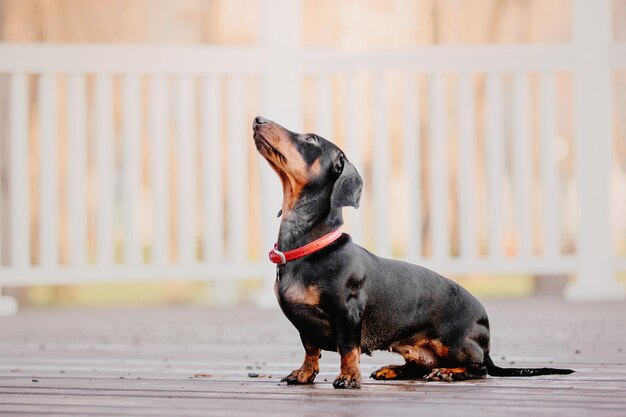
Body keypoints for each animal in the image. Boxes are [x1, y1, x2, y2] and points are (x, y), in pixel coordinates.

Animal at [251, 115, 572, 388]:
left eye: (311, 140)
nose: (258, 119)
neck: (309, 246)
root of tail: (486, 335)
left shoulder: (348, 313)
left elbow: (347, 348)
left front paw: (349, 377)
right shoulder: (305, 325)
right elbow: (310, 349)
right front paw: (304, 373)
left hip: (455, 344)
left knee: (478, 368)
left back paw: (446, 372)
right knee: (420, 365)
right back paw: (394, 369)